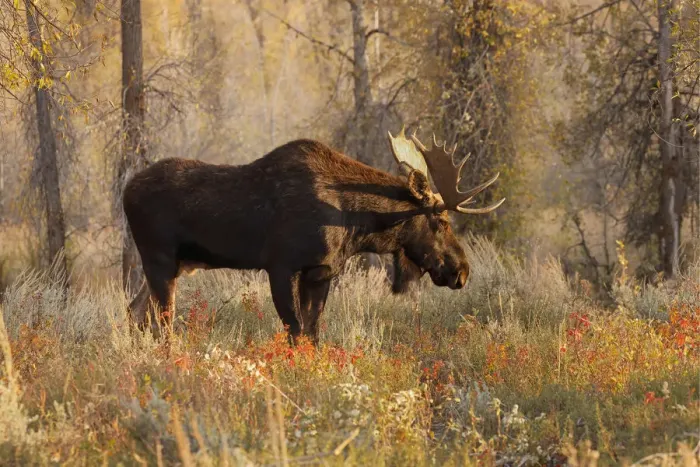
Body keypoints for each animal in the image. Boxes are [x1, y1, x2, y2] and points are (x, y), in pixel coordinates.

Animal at [122, 128, 504, 344]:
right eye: (440, 220)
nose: (461, 271)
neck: (353, 222)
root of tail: (125, 191)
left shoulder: (322, 271)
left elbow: (313, 331)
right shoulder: (281, 266)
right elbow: (295, 330)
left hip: (178, 265)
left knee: (135, 311)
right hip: (159, 259)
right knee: (162, 321)